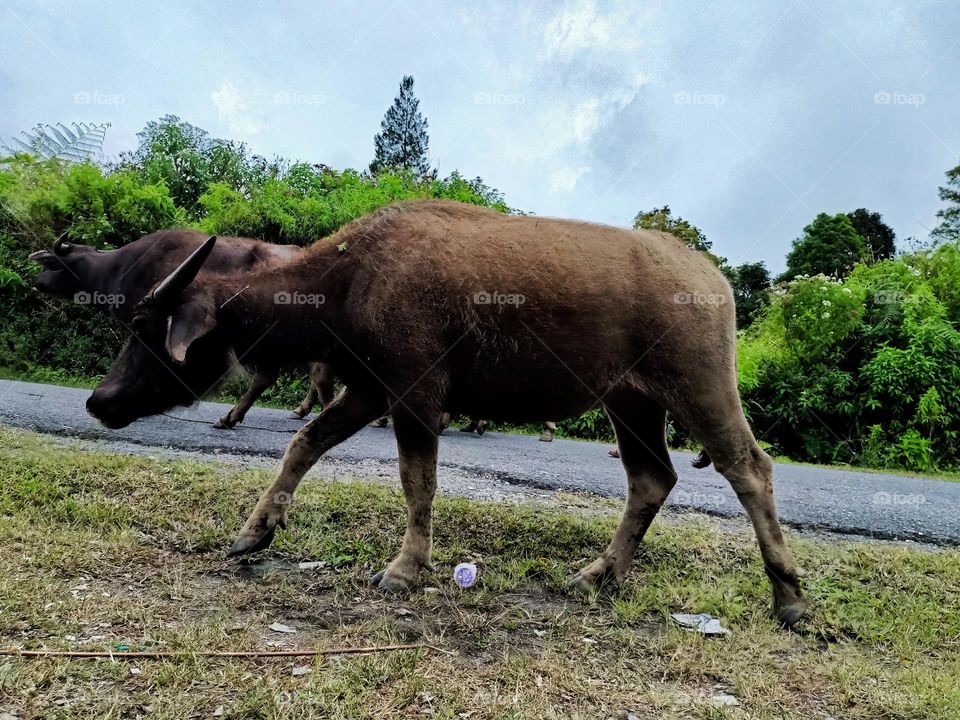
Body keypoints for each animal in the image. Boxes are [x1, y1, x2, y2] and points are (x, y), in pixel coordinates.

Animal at [86, 200, 807, 626]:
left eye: (147, 328)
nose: (99, 400)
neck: (348, 279)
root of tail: (710, 276)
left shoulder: (415, 394)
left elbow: (418, 483)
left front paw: (405, 569)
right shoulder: (368, 390)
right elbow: (304, 445)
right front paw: (254, 532)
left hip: (699, 385)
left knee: (750, 467)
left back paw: (790, 597)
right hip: (630, 402)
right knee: (652, 479)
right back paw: (600, 575)